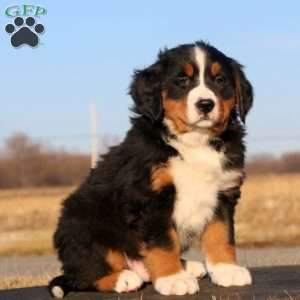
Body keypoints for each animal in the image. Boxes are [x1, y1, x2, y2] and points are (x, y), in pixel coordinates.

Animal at [49, 40, 253, 298]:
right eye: (182, 80)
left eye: (220, 80)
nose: (206, 104)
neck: (194, 141)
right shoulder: (151, 198)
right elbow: (163, 242)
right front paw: (173, 278)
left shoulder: (223, 192)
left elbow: (222, 234)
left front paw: (227, 270)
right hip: (83, 222)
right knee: (84, 275)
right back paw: (124, 278)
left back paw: (188, 266)